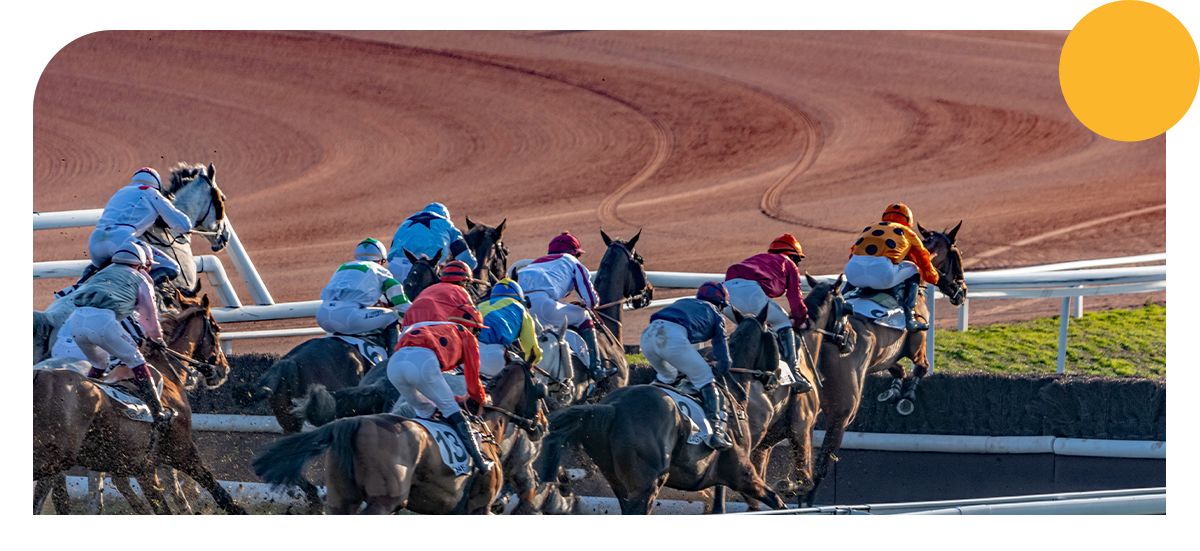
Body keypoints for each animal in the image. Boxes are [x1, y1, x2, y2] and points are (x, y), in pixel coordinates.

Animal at [32, 295, 244, 516]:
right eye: (216, 329)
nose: (223, 369)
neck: (164, 372)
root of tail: (40, 372)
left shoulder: (140, 464)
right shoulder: (180, 450)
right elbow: (212, 490)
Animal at [258, 350, 549, 516]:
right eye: (541, 390)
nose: (542, 425)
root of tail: (349, 425)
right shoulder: (480, 507)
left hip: (343, 500)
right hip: (383, 501)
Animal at [535, 303, 787, 516]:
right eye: (775, 338)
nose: (777, 377)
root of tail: (611, 408)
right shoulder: (742, 473)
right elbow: (776, 502)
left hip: (621, 484)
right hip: (646, 486)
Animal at [801, 222, 969, 506]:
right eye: (957, 255)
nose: (963, 292)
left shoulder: (883, 357)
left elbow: (897, 369)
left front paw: (892, 391)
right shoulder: (916, 345)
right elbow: (921, 367)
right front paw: (906, 398)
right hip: (842, 412)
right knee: (822, 460)